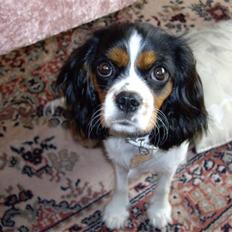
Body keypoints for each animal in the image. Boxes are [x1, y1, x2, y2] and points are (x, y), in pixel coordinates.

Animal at [49, 22, 208, 229]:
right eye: (104, 68)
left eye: (160, 72)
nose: (127, 100)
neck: (137, 139)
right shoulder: (117, 159)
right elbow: (120, 185)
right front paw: (117, 211)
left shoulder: (170, 161)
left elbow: (163, 186)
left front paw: (159, 211)